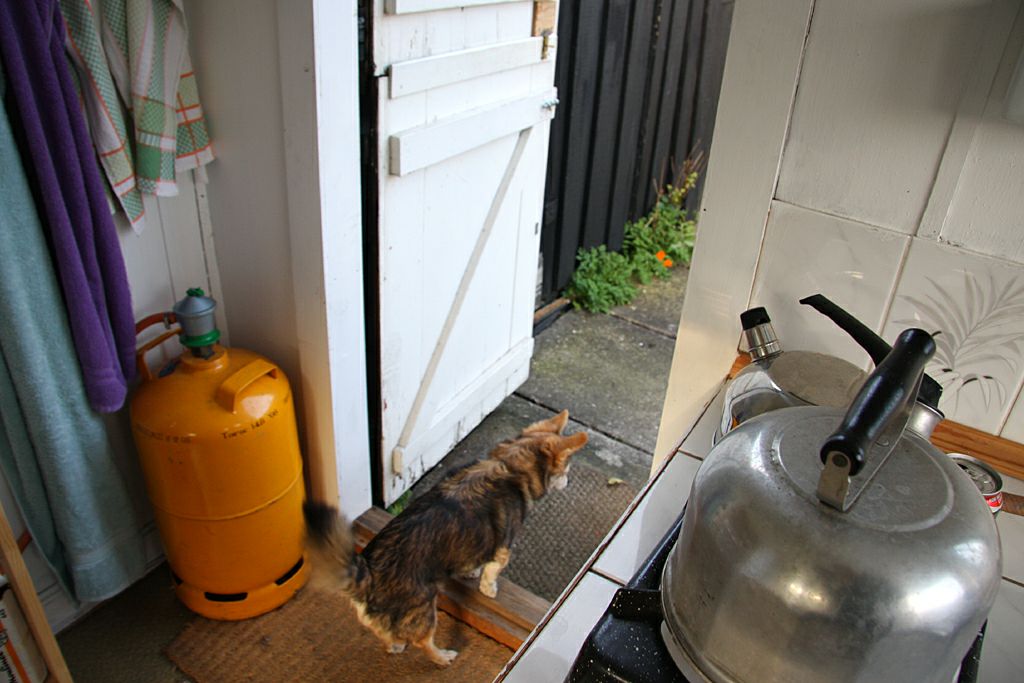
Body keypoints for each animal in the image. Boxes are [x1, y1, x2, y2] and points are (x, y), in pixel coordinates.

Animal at [302, 409, 588, 666]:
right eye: (566, 469)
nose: (570, 482)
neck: (510, 464)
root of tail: (367, 578)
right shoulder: (504, 547)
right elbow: (492, 571)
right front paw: (488, 589)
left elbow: (473, 561)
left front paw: (471, 573)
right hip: (425, 609)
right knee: (423, 641)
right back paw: (443, 657)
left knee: (388, 635)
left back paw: (396, 644)